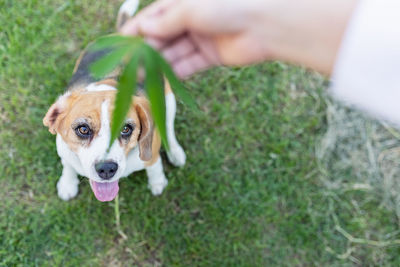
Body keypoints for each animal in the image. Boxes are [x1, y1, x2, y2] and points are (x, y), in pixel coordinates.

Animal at [43, 0, 186, 201]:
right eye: (83, 129)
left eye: (126, 129)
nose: (106, 169)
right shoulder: (64, 151)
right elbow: (68, 166)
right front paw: (67, 183)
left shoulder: (151, 154)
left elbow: (154, 167)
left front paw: (157, 183)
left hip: (168, 99)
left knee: (168, 128)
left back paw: (175, 152)